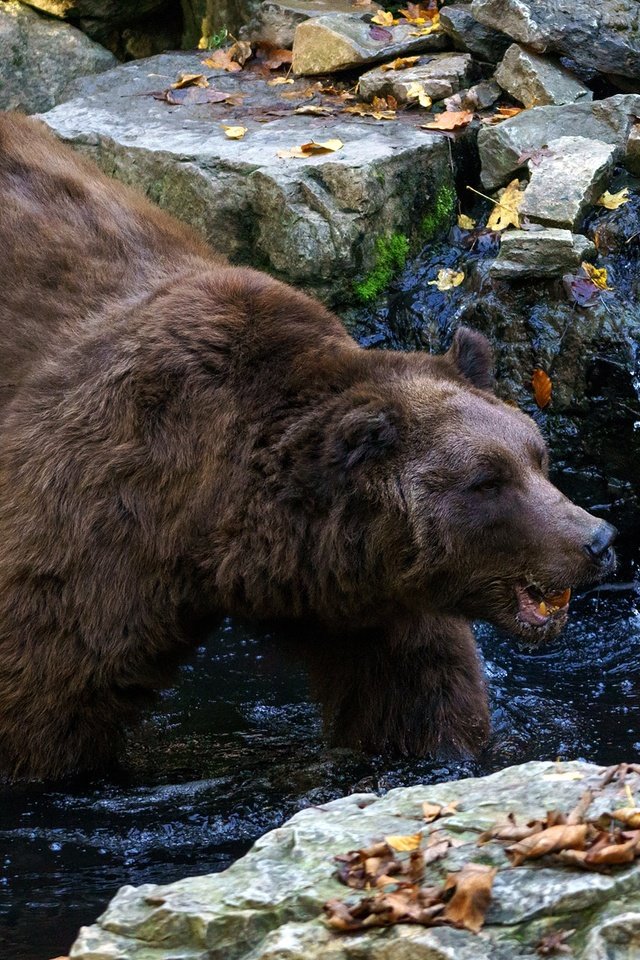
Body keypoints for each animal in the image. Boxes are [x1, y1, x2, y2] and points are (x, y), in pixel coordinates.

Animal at [0, 116, 616, 784]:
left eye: (538, 457)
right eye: (488, 480)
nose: (597, 540)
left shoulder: (367, 594)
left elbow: (417, 693)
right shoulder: (102, 513)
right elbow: (44, 689)